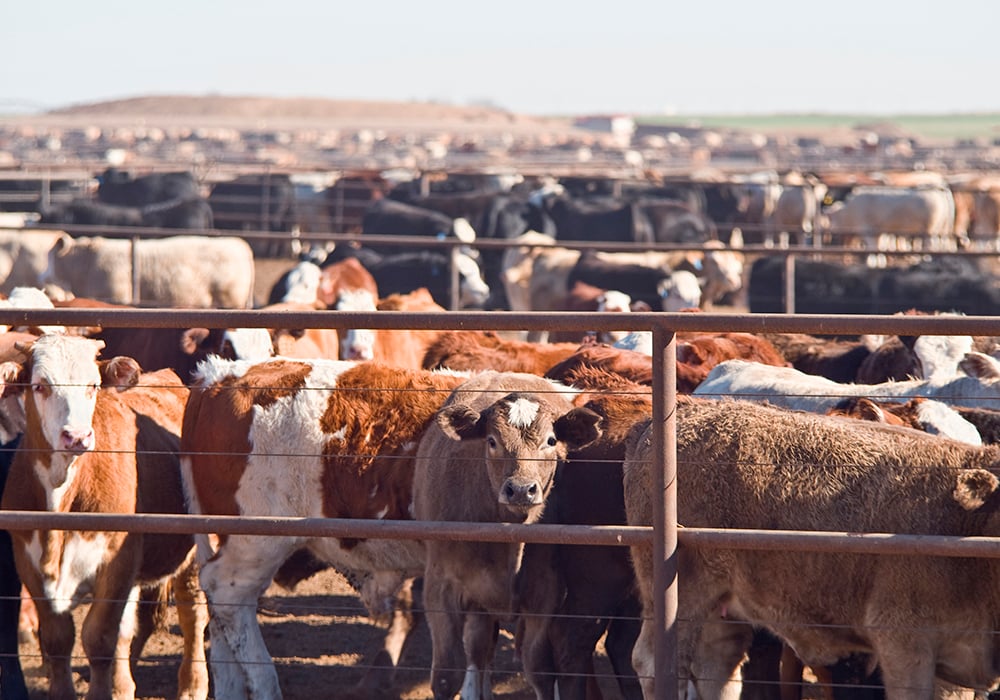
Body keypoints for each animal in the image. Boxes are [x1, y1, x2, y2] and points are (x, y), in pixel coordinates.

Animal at [0, 334, 208, 700]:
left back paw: (192, 687)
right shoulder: (28, 562)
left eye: (93, 385)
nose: (77, 437)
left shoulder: (116, 561)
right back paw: (123, 686)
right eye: (40, 386)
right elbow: (59, 640)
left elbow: (98, 639)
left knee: (192, 614)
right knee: (128, 628)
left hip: (194, 552)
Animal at [411, 371, 603, 700]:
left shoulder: (545, 593)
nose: (522, 490)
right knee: (477, 652)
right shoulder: (439, 587)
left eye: (551, 441)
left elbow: (539, 670)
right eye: (492, 441)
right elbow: (447, 676)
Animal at [624, 397, 1000, 698]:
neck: (963, 521)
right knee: (657, 665)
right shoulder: (903, 643)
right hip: (683, 595)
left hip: (722, 605)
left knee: (717, 669)